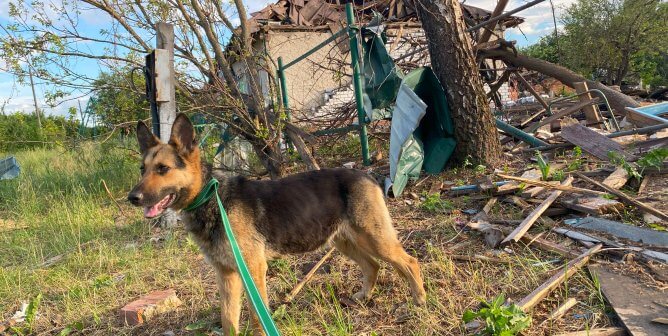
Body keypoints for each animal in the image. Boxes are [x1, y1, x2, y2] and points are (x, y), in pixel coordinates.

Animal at [128, 114, 426, 334]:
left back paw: (419, 300)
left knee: (410, 262)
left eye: (163, 169)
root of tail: (366, 174)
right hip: (345, 241)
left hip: (375, 238)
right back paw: (363, 296)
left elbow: (257, 316)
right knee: (372, 265)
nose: (132, 198)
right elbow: (228, 320)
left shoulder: (253, 269)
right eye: (142, 169)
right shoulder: (227, 276)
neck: (211, 197)